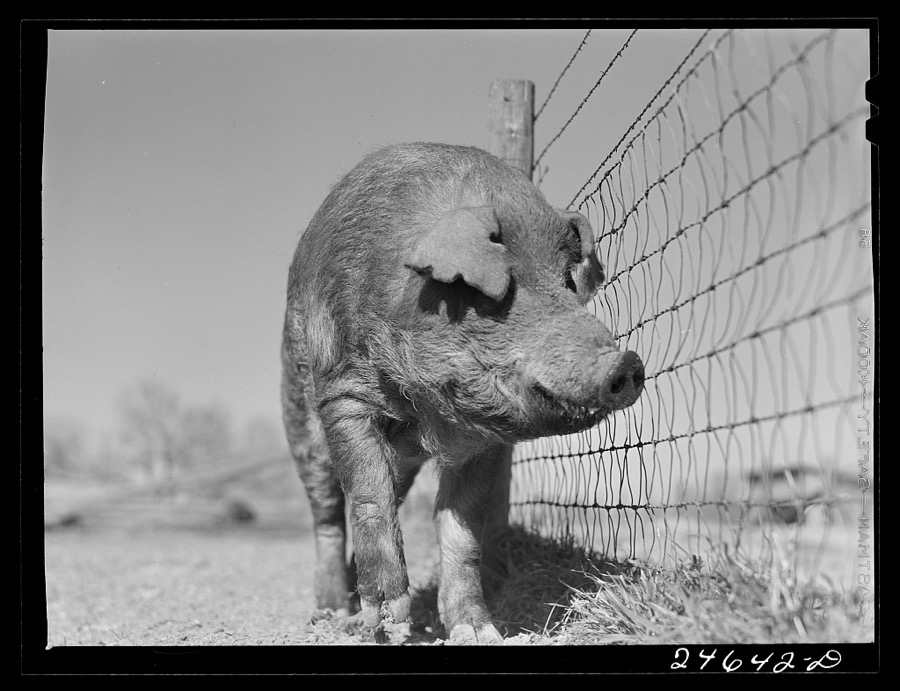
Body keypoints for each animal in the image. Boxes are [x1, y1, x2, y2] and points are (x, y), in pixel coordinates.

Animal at [281, 142, 644, 644]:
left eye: (568, 282)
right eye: (506, 285)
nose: (627, 363)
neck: (429, 407)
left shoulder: (483, 437)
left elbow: (462, 529)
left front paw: (479, 633)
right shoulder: (343, 391)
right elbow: (368, 497)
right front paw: (390, 625)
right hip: (299, 414)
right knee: (329, 512)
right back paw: (334, 614)